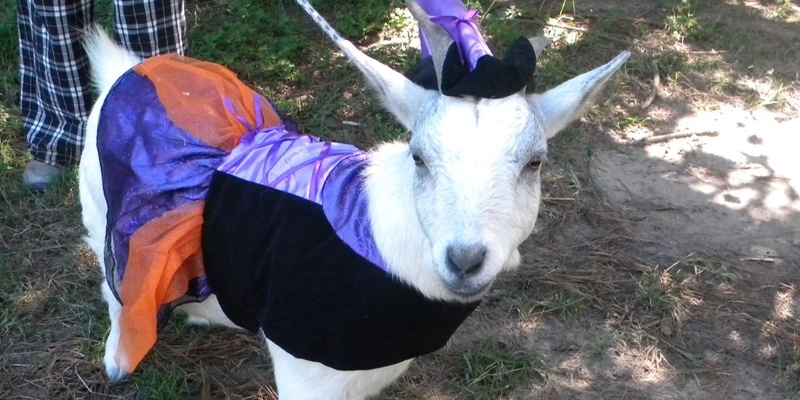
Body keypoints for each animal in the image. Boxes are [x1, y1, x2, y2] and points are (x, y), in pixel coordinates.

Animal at [79, 0, 632, 396]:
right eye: (419, 158)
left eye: (535, 162)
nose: (465, 259)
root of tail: (127, 71)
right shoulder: (305, 372)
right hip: (104, 211)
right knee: (115, 283)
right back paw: (117, 360)